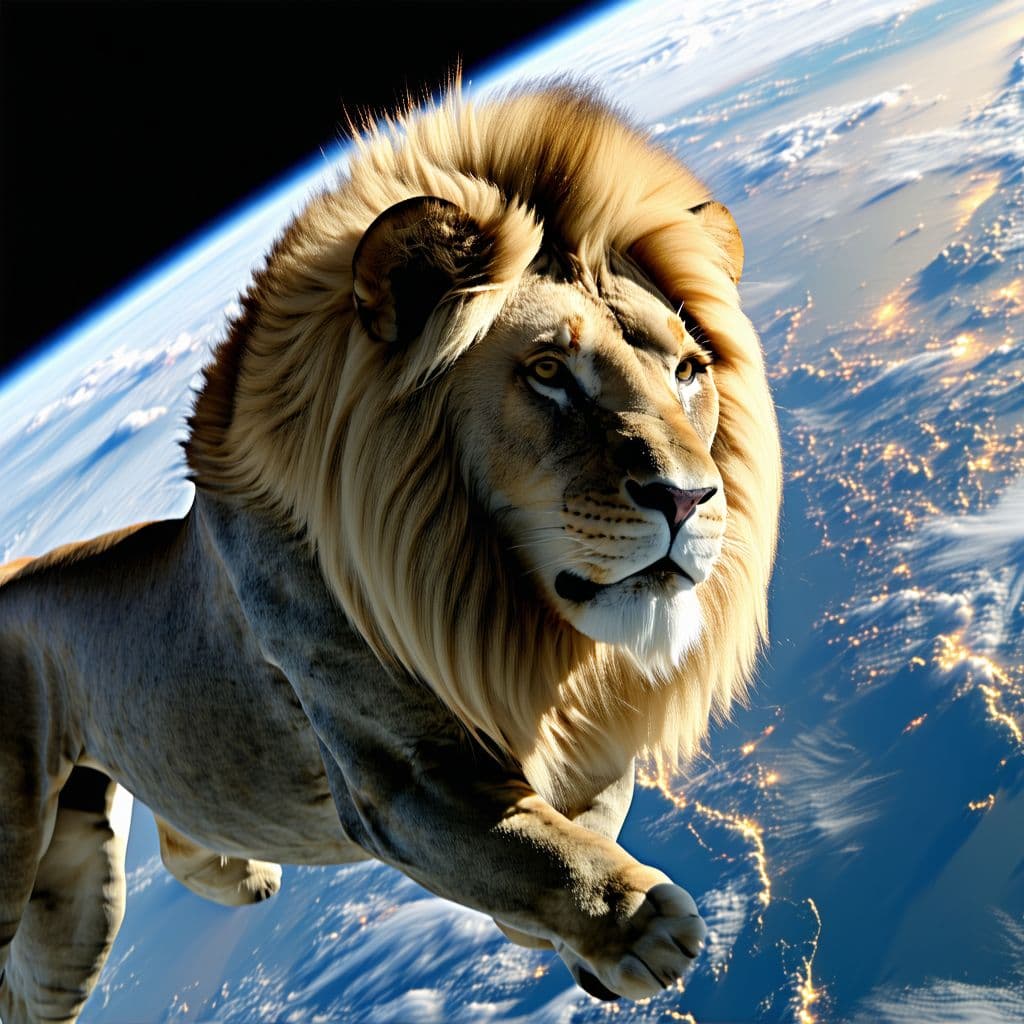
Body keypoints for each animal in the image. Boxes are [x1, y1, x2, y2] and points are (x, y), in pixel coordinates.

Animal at [0, 82, 780, 1022]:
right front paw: (631, 922)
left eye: (690, 371)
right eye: (549, 371)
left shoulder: (586, 734)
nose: (690, 498)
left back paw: (238, 874)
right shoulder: (394, 779)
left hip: (83, 881)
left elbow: (582, 812)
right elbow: (528, 844)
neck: (499, 603)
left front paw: (561, 940)